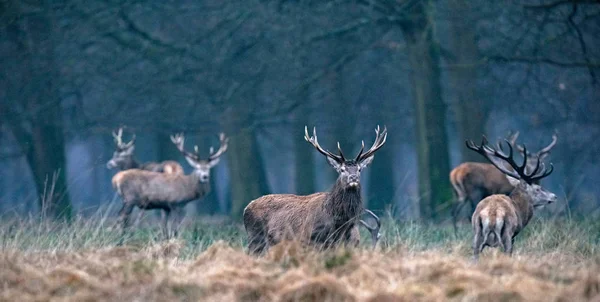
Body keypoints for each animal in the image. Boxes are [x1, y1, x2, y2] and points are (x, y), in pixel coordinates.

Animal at [244, 125, 390, 255]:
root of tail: (246, 208)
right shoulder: (310, 239)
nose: (353, 177)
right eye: (342, 170)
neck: (338, 221)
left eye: (359, 169)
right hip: (256, 238)